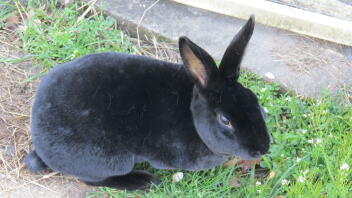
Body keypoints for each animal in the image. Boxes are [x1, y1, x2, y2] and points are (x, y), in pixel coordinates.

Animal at [25, 15, 272, 190]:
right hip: (111, 161)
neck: (192, 116)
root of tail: (39, 140)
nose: (262, 148)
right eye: (225, 120)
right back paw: (144, 181)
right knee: (92, 179)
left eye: (256, 102)